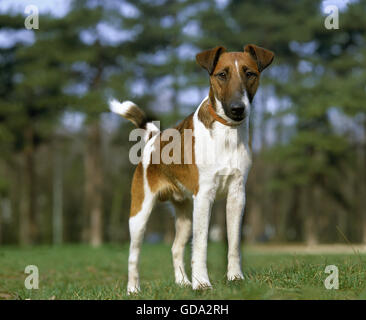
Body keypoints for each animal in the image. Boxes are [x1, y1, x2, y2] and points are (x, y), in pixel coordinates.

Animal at [110, 43, 274, 294]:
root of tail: (153, 137)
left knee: (176, 248)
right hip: (140, 212)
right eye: (222, 74)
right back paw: (133, 289)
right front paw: (202, 283)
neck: (227, 133)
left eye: (250, 73)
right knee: (133, 255)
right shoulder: (204, 196)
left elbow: (234, 242)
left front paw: (235, 278)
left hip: (185, 214)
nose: (237, 108)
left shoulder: (237, 195)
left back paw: (182, 282)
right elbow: (201, 244)